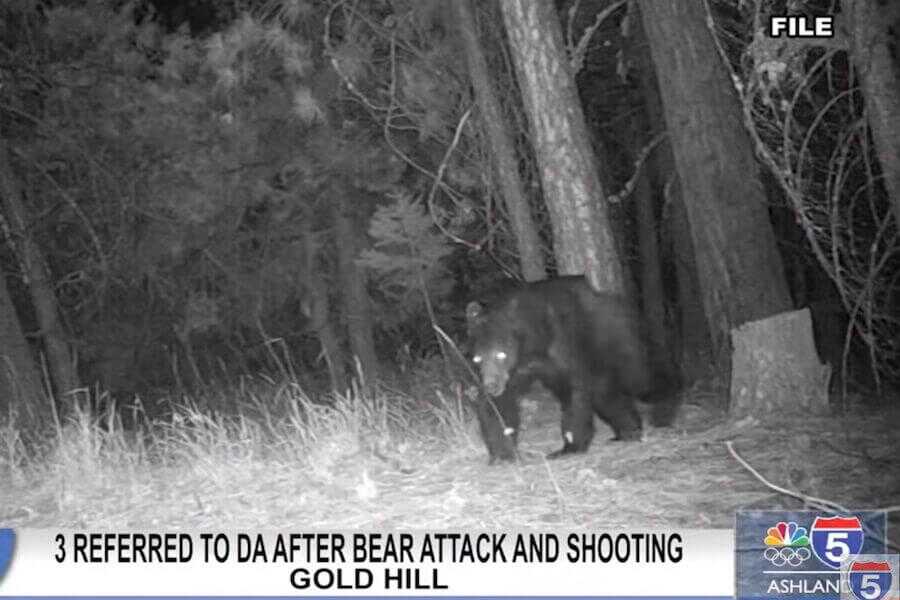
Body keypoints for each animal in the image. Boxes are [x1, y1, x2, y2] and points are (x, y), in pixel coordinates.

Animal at [466, 276, 679, 463]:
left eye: (501, 354)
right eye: (477, 359)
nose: (492, 385)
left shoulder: (564, 347)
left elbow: (574, 393)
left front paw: (569, 447)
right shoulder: (516, 370)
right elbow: (498, 404)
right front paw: (502, 454)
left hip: (619, 339)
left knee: (641, 377)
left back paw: (664, 409)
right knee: (607, 395)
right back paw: (628, 431)